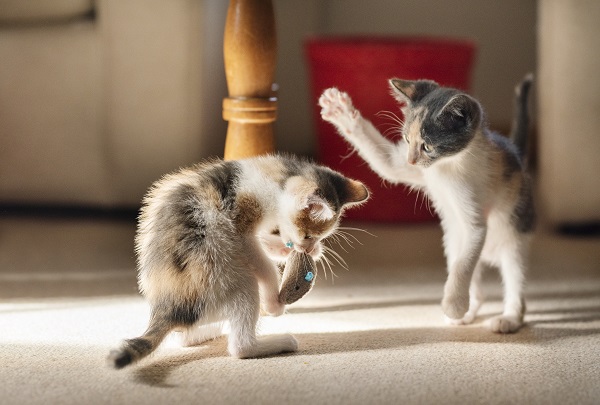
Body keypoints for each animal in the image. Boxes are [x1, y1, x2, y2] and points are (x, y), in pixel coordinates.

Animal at [109, 153, 368, 368]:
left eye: (320, 237)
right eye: (308, 235)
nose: (309, 247)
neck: (275, 176)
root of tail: (168, 309)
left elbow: (266, 241)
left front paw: (289, 250)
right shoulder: (241, 225)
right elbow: (261, 261)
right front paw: (274, 303)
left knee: (184, 336)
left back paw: (210, 332)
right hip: (231, 281)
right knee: (241, 346)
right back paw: (280, 341)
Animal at [318, 75, 536, 332]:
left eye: (428, 146)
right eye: (406, 139)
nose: (411, 160)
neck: (447, 166)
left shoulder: (476, 220)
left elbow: (463, 263)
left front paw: (453, 304)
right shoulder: (415, 170)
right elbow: (387, 163)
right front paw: (341, 111)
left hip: (514, 238)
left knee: (513, 278)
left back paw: (508, 318)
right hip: (453, 242)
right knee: (471, 276)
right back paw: (467, 313)